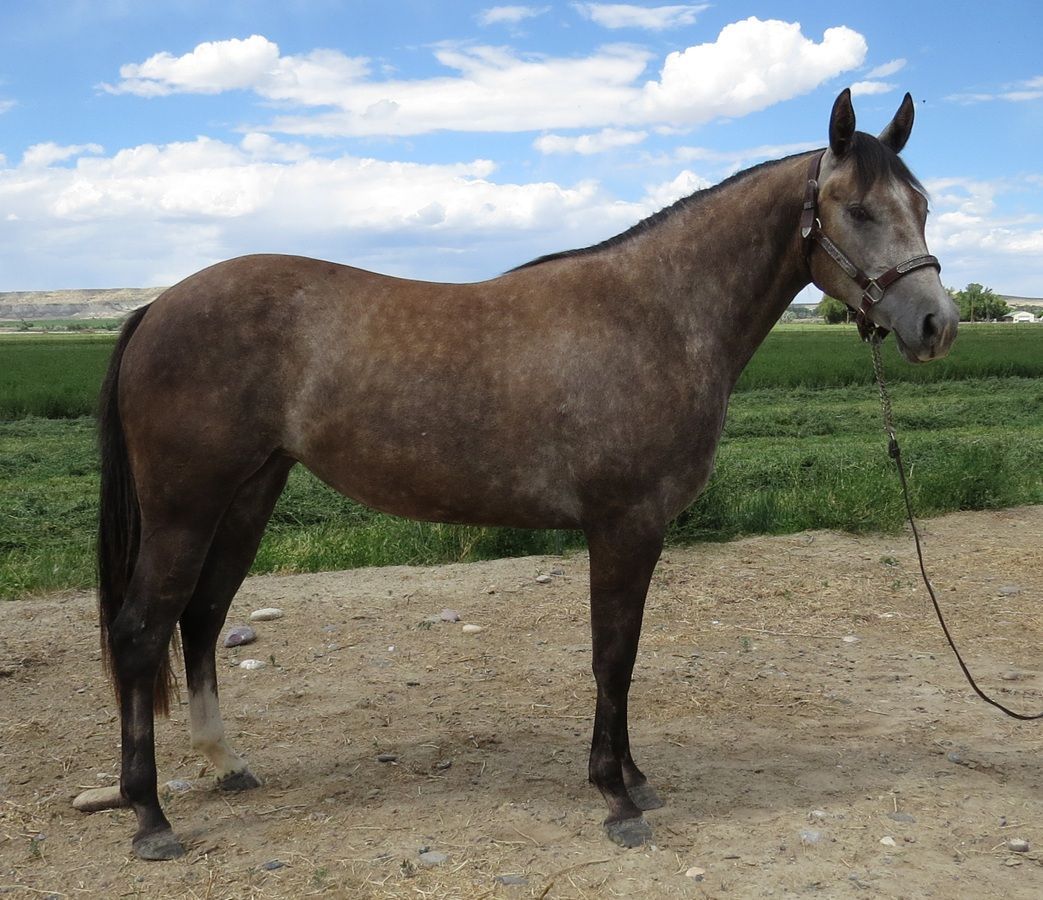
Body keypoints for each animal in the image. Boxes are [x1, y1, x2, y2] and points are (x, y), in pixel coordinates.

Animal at [92, 89, 957, 859]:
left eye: (921, 203)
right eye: (857, 209)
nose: (935, 324)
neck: (657, 315)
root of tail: (156, 307)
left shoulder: (636, 533)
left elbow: (624, 657)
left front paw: (634, 779)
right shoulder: (622, 527)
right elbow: (613, 655)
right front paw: (614, 797)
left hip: (247, 496)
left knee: (200, 619)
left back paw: (227, 764)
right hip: (185, 509)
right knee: (141, 633)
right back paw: (151, 818)